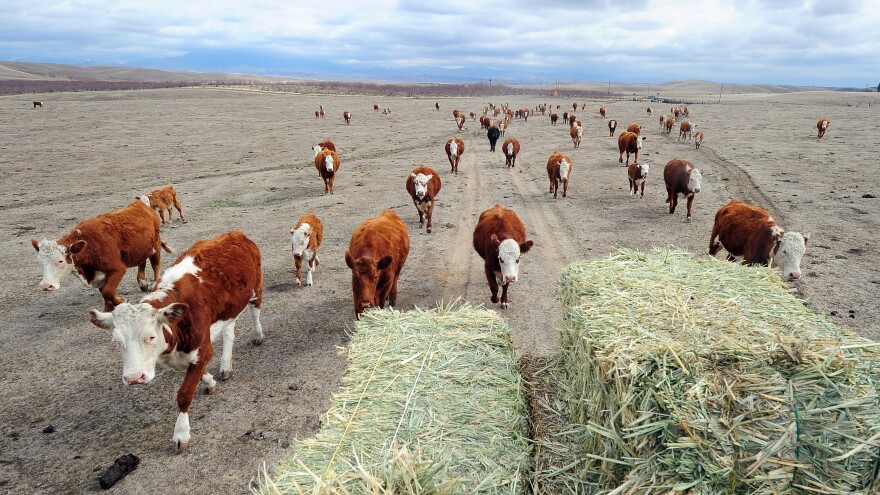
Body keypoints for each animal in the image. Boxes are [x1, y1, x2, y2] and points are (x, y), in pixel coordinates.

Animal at [33, 200, 174, 312]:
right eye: (40, 262)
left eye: (60, 261)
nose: (46, 286)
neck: (89, 245)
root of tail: (141, 204)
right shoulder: (99, 274)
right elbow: (104, 291)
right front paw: (108, 308)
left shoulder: (117, 269)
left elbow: (107, 291)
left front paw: (120, 301)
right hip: (140, 248)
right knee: (142, 262)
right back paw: (142, 282)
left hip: (156, 245)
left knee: (155, 264)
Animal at [88, 231, 264, 452]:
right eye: (117, 341)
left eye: (151, 336)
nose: (134, 378)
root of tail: (234, 233)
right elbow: (196, 372)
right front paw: (210, 381)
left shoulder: (203, 348)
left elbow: (185, 393)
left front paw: (181, 434)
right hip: (228, 309)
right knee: (229, 332)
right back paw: (226, 366)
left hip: (256, 287)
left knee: (255, 311)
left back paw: (257, 335)